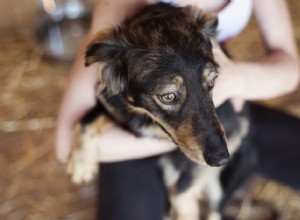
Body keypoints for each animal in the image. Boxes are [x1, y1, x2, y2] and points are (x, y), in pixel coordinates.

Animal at [67, 2, 250, 219]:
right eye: (168, 96)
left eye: (212, 82)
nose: (222, 159)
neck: (148, 116)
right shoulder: (113, 105)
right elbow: (86, 121)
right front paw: (81, 163)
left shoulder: (235, 128)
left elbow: (181, 191)